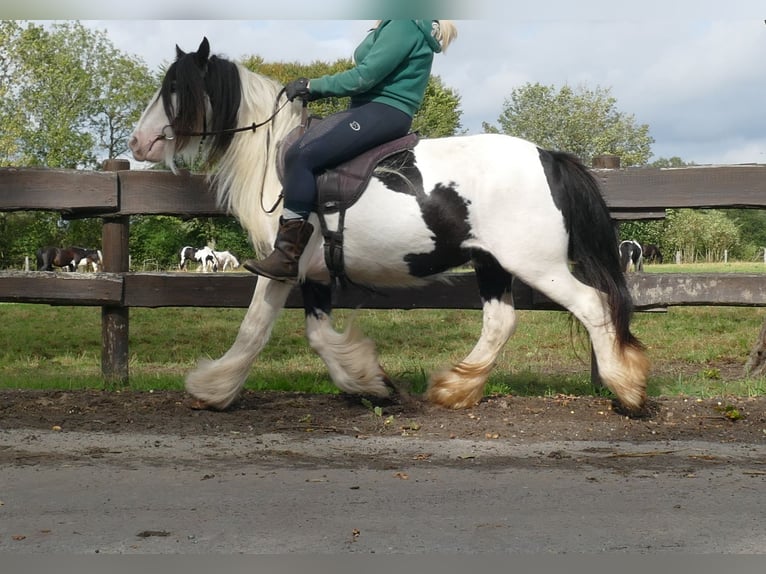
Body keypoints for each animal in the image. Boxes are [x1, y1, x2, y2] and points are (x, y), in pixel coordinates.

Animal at [129, 38, 652, 416]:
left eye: (173, 88)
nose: (137, 142)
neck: (275, 156)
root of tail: (548, 156)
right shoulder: (311, 274)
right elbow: (307, 335)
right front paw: (371, 383)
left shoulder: (282, 267)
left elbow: (255, 328)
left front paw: (213, 389)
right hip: (491, 263)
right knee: (501, 322)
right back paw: (454, 388)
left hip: (537, 264)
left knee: (593, 305)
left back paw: (627, 391)